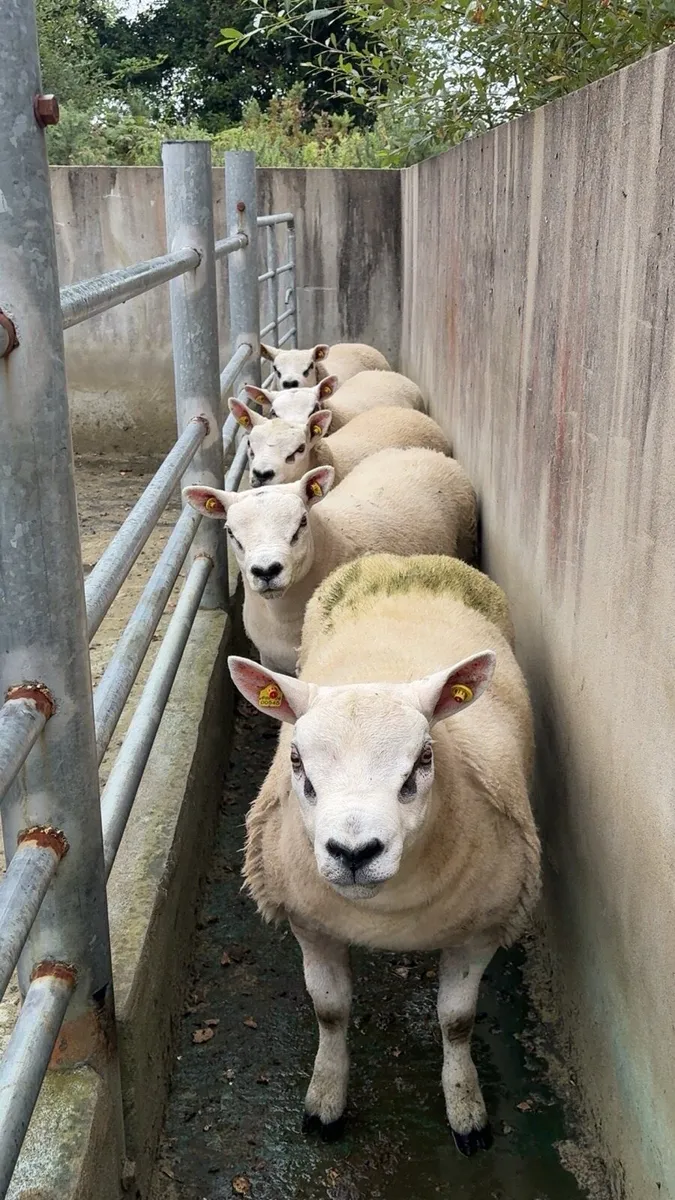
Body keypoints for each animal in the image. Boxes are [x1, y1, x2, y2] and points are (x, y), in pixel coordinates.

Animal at [227, 553, 540, 1155]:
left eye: (424, 758)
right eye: (296, 759)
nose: (354, 851)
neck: (384, 915)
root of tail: (403, 560)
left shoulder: (483, 928)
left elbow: (457, 1021)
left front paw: (466, 1108)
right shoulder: (310, 923)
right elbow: (329, 1012)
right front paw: (325, 1100)